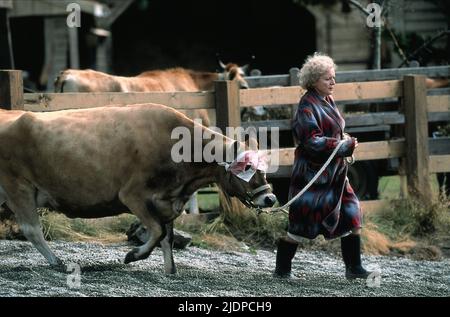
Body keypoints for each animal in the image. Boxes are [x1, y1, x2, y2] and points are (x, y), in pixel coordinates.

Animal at [0, 103, 274, 272]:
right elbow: (157, 232)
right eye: (248, 168)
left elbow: (168, 237)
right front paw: (133, 255)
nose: (270, 199)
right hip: (18, 186)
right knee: (32, 229)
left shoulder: (167, 202)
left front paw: (170, 270)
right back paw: (56, 261)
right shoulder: (133, 196)